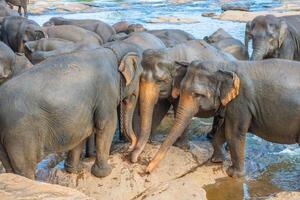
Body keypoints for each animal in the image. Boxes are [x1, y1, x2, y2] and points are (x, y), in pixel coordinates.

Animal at [0, 41, 144, 179]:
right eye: (140, 76)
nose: (129, 148)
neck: (111, 49)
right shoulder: (106, 92)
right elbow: (106, 126)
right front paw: (105, 173)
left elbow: (81, 130)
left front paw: (74, 170)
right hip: (21, 133)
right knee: (25, 169)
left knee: (9, 166)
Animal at [145, 59, 300, 178]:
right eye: (181, 89)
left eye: (198, 94)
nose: (146, 171)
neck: (225, 65)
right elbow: (223, 131)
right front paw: (217, 160)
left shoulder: (240, 101)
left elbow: (233, 133)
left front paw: (233, 174)